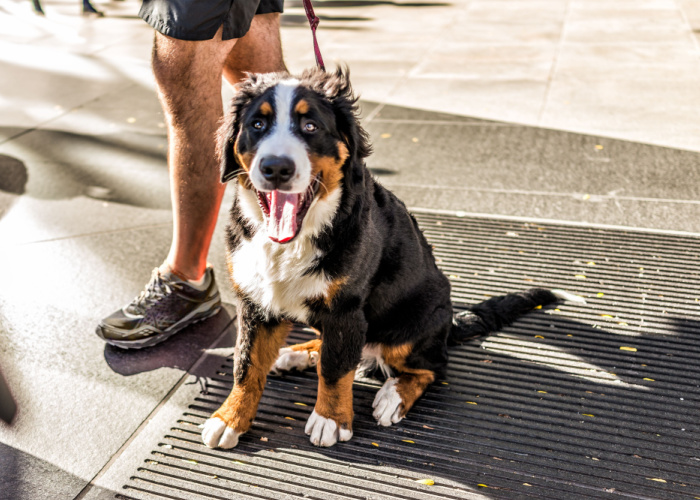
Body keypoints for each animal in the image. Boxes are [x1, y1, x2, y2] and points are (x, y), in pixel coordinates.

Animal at [201, 67, 580, 450]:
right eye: (257, 125)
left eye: (310, 126)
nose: (276, 167)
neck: (293, 239)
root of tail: (448, 322)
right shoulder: (255, 301)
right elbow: (247, 365)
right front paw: (230, 418)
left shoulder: (346, 309)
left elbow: (335, 370)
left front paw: (330, 419)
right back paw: (298, 353)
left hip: (411, 323)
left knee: (430, 367)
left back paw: (392, 396)